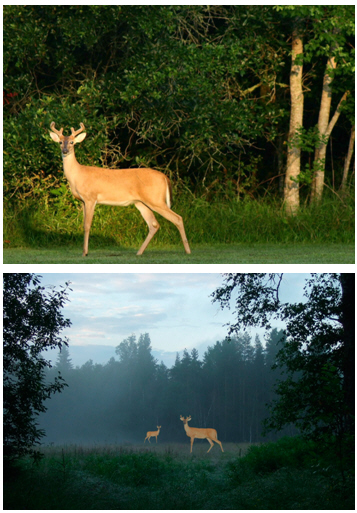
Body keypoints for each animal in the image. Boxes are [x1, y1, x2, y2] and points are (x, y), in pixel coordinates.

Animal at [49, 120, 192, 256]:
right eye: (60, 142)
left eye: (72, 142)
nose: (65, 151)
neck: (77, 175)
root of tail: (165, 177)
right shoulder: (82, 201)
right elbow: (83, 225)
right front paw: (84, 251)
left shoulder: (91, 198)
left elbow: (87, 225)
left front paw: (85, 253)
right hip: (141, 202)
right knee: (154, 224)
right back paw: (139, 252)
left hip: (156, 200)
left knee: (177, 218)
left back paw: (188, 251)